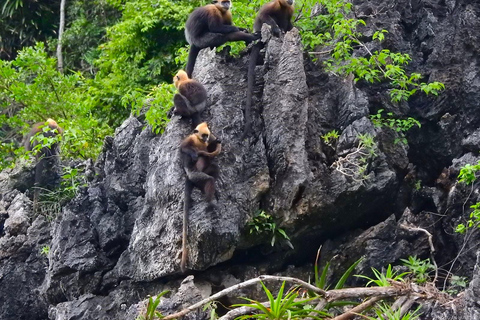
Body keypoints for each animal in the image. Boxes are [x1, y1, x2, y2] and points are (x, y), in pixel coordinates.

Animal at [179, 121, 222, 272]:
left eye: (206, 135)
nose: (206, 138)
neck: (199, 141)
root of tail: (189, 178)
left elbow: (210, 148)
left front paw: (217, 141)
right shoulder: (190, 138)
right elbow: (183, 147)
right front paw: (193, 154)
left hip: (204, 172)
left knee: (213, 169)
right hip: (195, 175)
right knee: (207, 179)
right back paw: (210, 201)